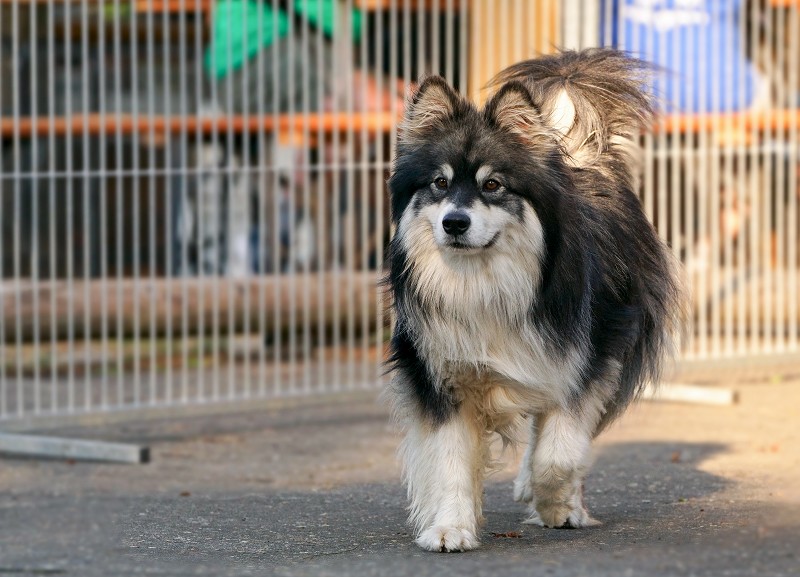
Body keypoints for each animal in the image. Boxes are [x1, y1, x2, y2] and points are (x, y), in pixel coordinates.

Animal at [384, 47, 684, 552]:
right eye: (439, 183)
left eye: (492, 185)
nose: (454, 223)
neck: (485, 284)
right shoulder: (440, 376)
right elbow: (450, 462)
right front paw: (451, 527)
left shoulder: (587, 358)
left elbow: (558, 454)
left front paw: (552, 500)